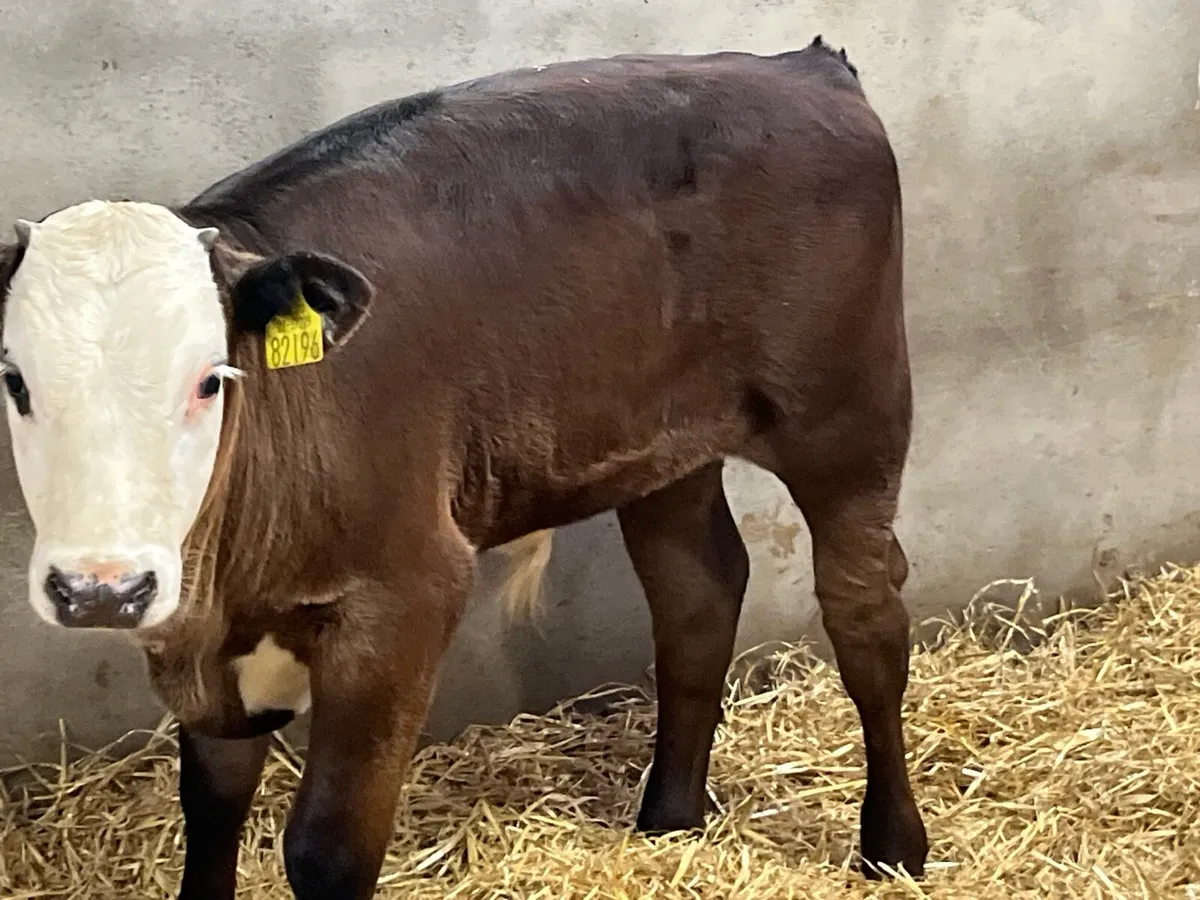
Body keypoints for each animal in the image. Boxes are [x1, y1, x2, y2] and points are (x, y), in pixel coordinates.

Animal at [0, 38, 927, 899]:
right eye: (14, 378)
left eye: (210, 379)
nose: (101, 588)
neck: (228, 584)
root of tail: (799, 65)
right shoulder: (206, 641)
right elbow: (214, 802)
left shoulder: (406, 592)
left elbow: (328, 850)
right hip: (666, 444)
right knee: (696, 592)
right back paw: (669, 819)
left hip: (849, 412)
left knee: (865, 612)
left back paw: (893, 845)